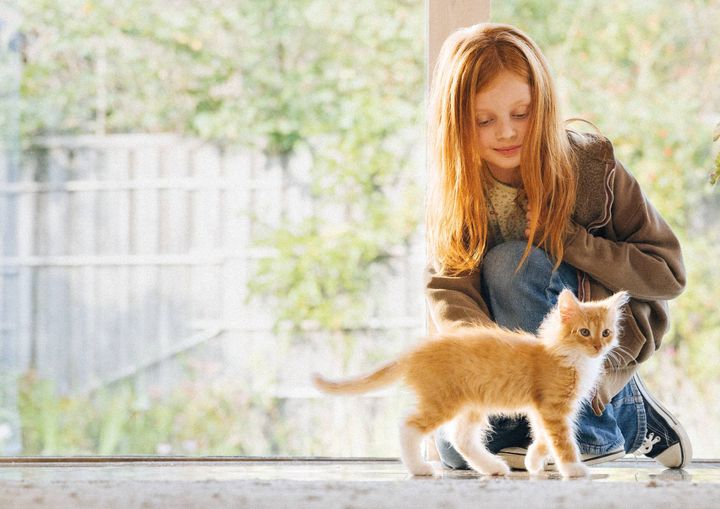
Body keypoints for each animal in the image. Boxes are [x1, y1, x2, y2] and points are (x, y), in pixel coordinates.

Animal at [312, 288, 628, 478]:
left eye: (606, 333)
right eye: (584, 332)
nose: (599, 346)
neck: (565, 355)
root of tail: (415, 351)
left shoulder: (542, 409)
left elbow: (542, 439)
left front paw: (532, 462)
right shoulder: (553, 408)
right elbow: (562, 441)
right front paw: (574, 469)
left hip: (471, 403)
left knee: (461, 437)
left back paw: (492, 466)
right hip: (443, 400)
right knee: (408, 425)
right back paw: (419, 467)